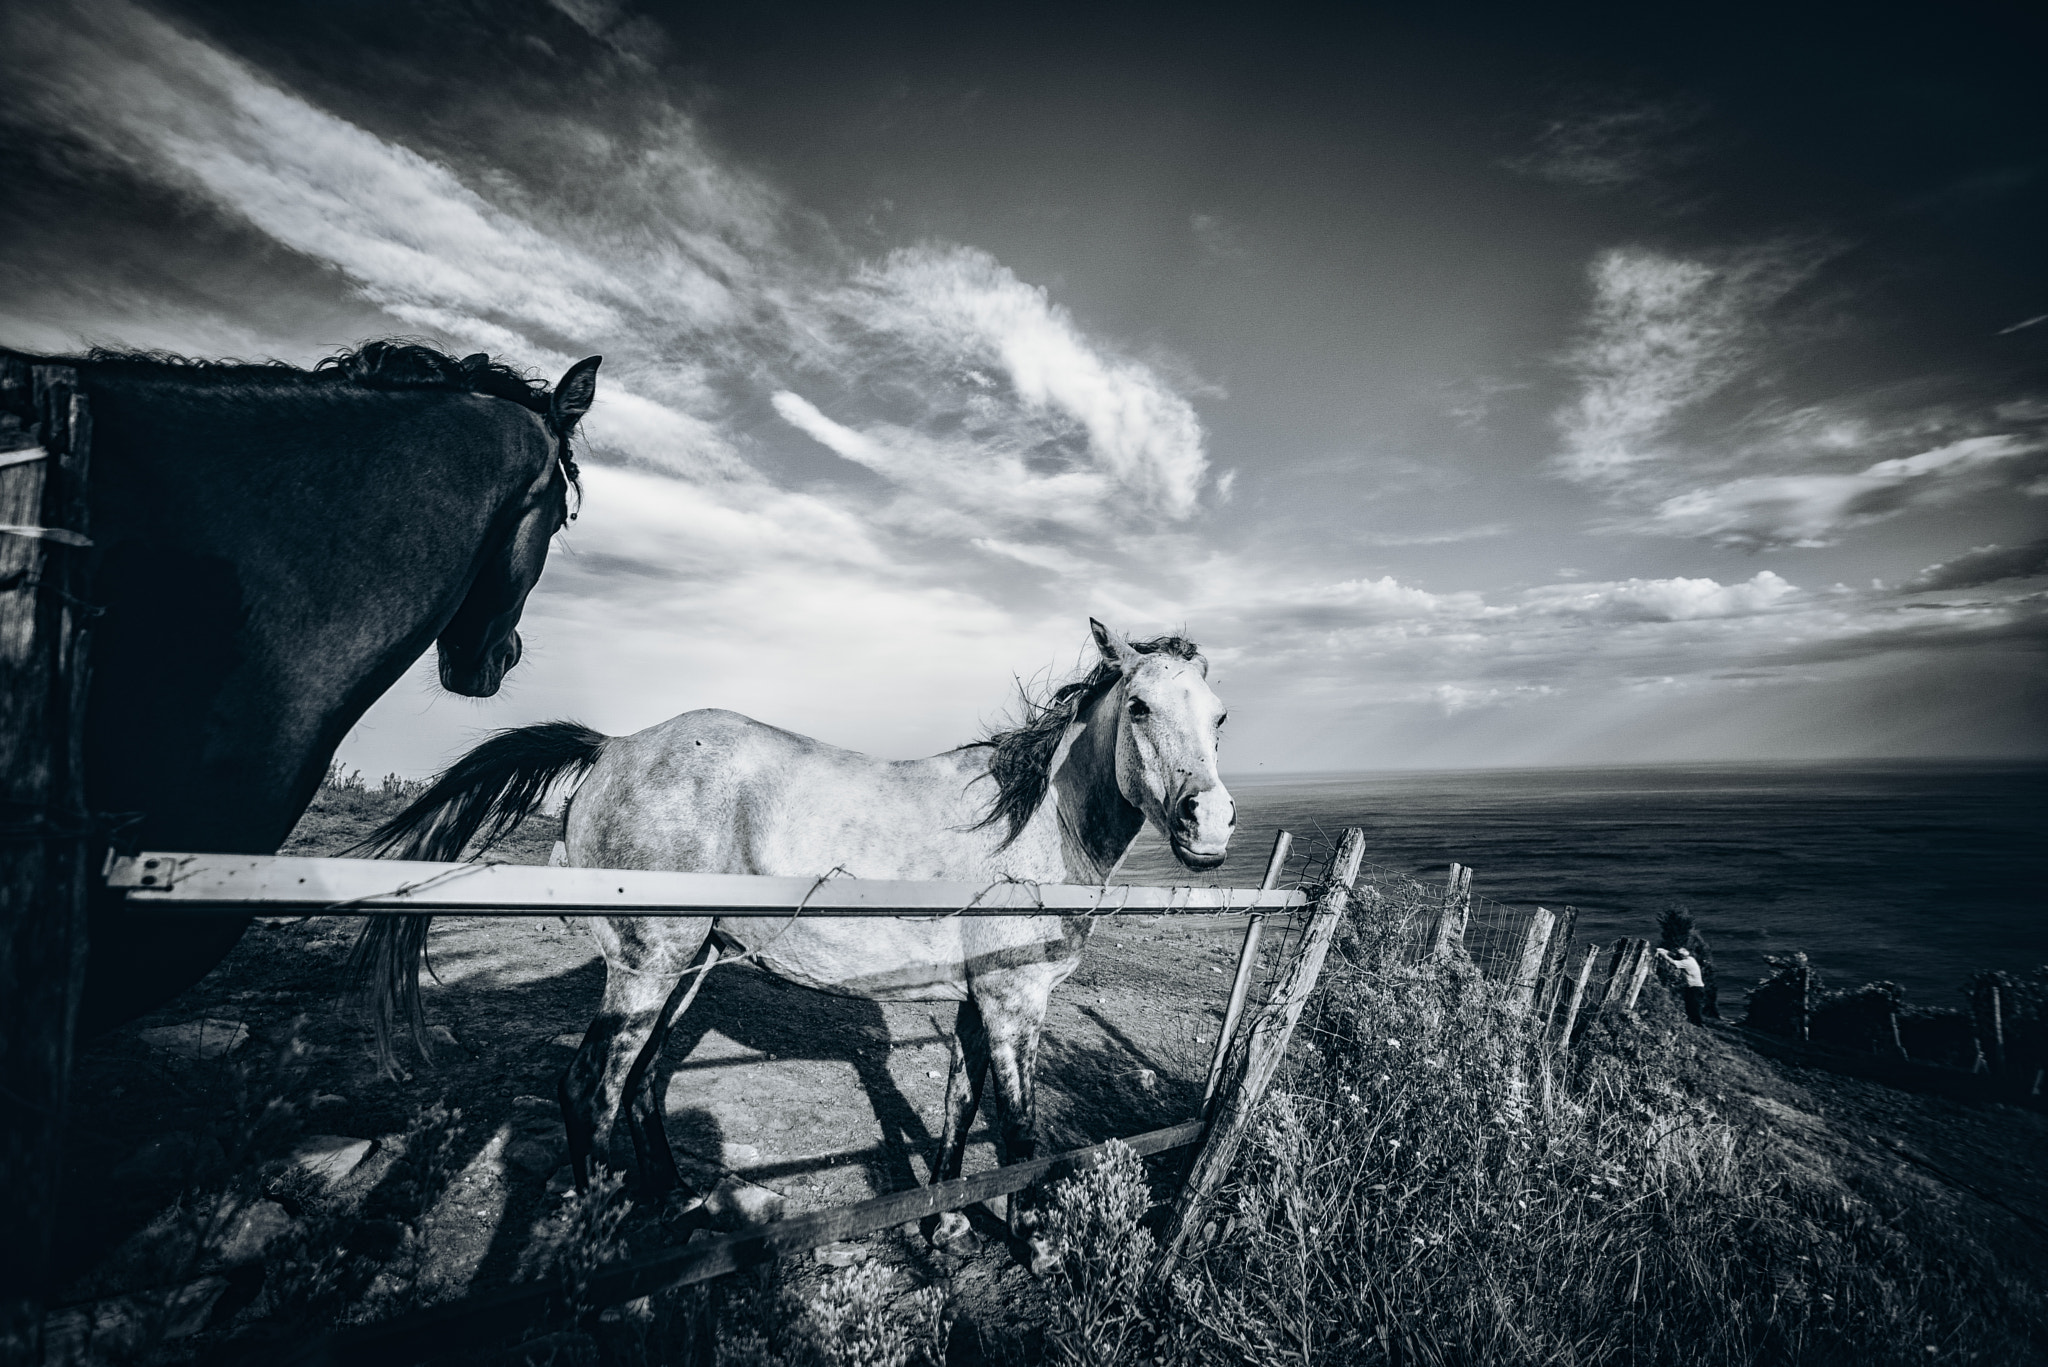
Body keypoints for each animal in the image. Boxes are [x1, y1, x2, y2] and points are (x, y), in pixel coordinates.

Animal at [356, 618, 1228, 1262]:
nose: (1211, 824)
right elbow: (1021, 1130)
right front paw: (1037, 1244)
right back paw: (606, 1248)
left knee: (643, 1081)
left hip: (689, 966)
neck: (1033, 825)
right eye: (1141, 706)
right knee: (590, 1088)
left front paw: (944, 1223)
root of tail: (613, 748)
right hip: (647, 964)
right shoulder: (1016, 1001)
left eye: (1218, 716)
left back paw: (676, 1203)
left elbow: (959, 1102)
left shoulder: (978, 1003)